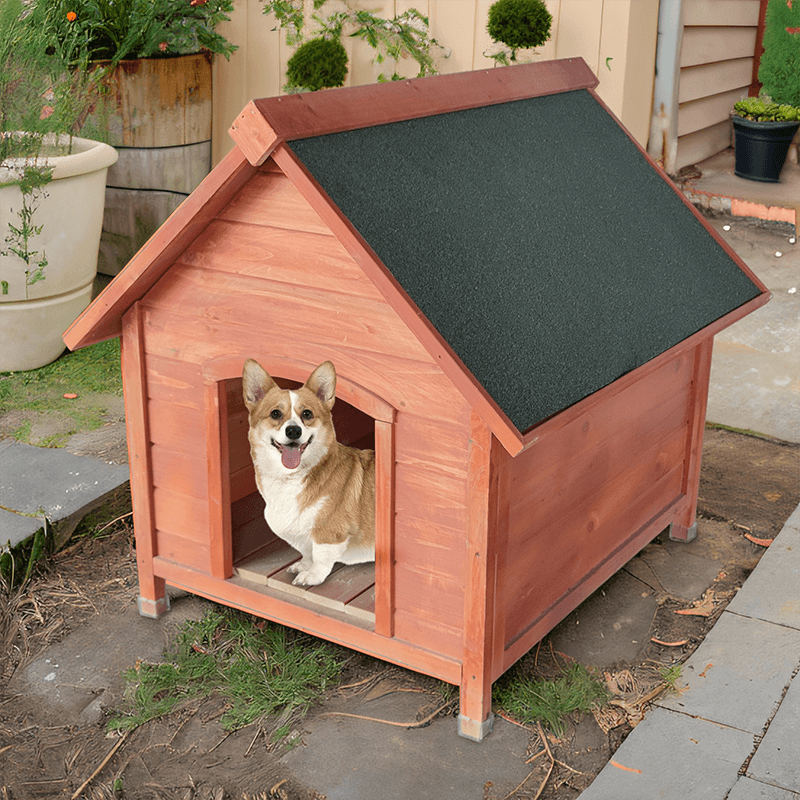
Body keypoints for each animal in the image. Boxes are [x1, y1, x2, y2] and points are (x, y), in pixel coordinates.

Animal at [241, 360, 376, 584]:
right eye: (275, 413)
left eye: (307, 414)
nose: (294, 431)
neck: (290, 479)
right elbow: (307, 551)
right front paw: (303, 565)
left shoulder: (328, 534)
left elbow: (320, 556)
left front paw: (311, 576)